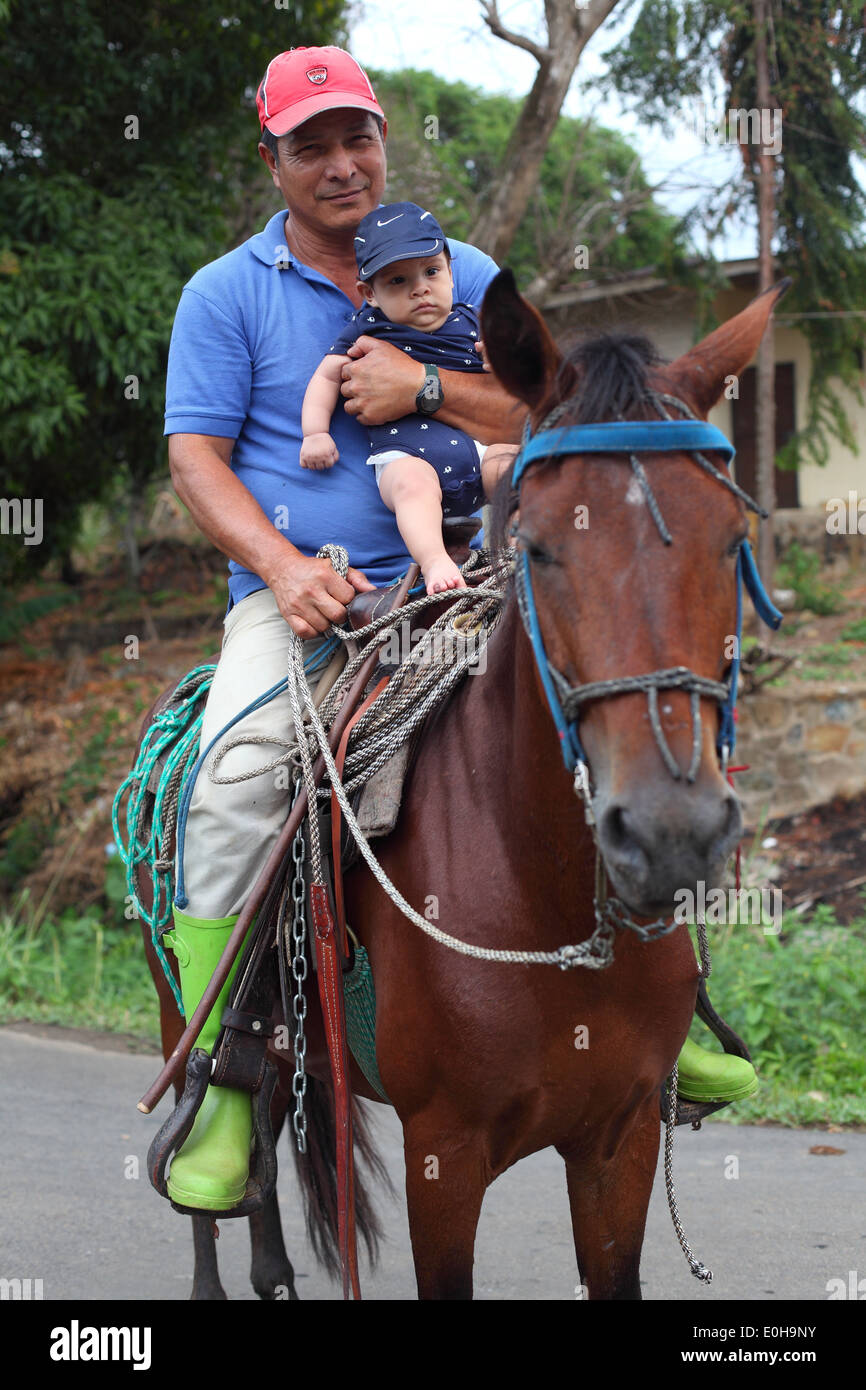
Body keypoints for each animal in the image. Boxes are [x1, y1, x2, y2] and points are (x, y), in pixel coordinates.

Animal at [135, 271, 783, 1301]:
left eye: (729, 541)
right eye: (543, 547)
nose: (669, 829)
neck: (544, 890)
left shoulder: (621, 1140)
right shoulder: (444, 1152)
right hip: (174, 997)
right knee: (212, 1100)